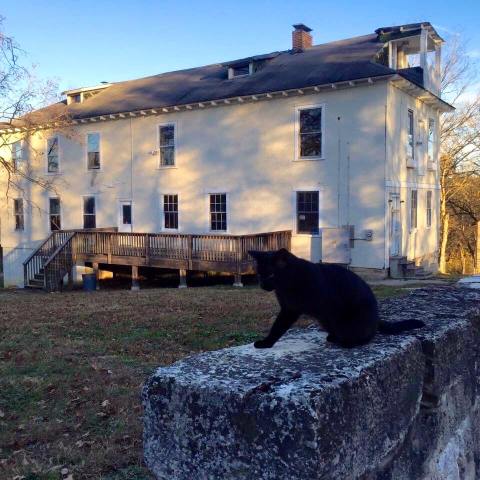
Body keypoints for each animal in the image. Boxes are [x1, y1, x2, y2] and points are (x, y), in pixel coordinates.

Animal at [248, 249, 424, 346]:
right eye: (259, 275)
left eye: (271, 275)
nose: (262, 285)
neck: (286, 285)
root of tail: (376, 318)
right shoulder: (287, 307)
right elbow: (277, 327)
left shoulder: (291, 310)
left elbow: (278, 327)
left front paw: (266, 343)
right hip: (324, 320)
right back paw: (333, 337)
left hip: (348, 319)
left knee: (366, 334)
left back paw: (348, 341)